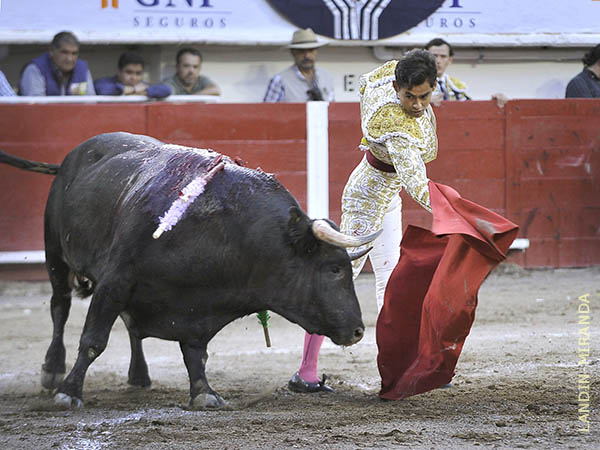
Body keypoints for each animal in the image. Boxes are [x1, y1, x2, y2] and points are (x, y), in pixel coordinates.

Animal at [0, 132, 380, 410]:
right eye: (334, 269)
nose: (359, 331)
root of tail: (72, 156)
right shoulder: (115, 280)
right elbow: (93, 341)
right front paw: (68, 393)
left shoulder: (198, 305)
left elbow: (195, 352)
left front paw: (203, 392)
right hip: (55, 252)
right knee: (60, 307)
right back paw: (52, 372)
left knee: (131, 326)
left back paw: (139, 375)